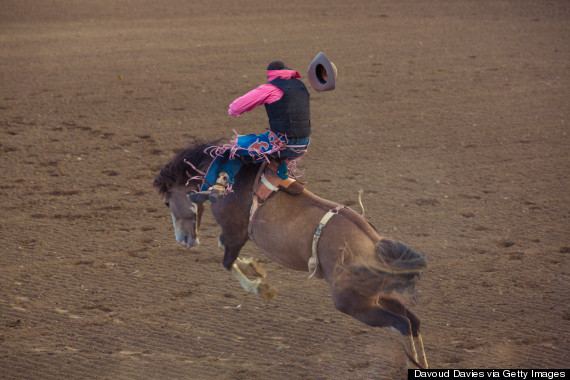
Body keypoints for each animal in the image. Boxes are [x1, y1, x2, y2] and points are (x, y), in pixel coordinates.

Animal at [153, 140, 428, 368]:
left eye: (167, 202)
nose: (184, 241)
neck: (229, 176)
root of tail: (376, 245)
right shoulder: (233, 236)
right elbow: (225, 252)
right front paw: (254, 267)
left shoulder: (235, 232)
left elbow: (227, 260)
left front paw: (261, 287)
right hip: (377, 295)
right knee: (412, 321)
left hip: (353, 302)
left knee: (402, 324)